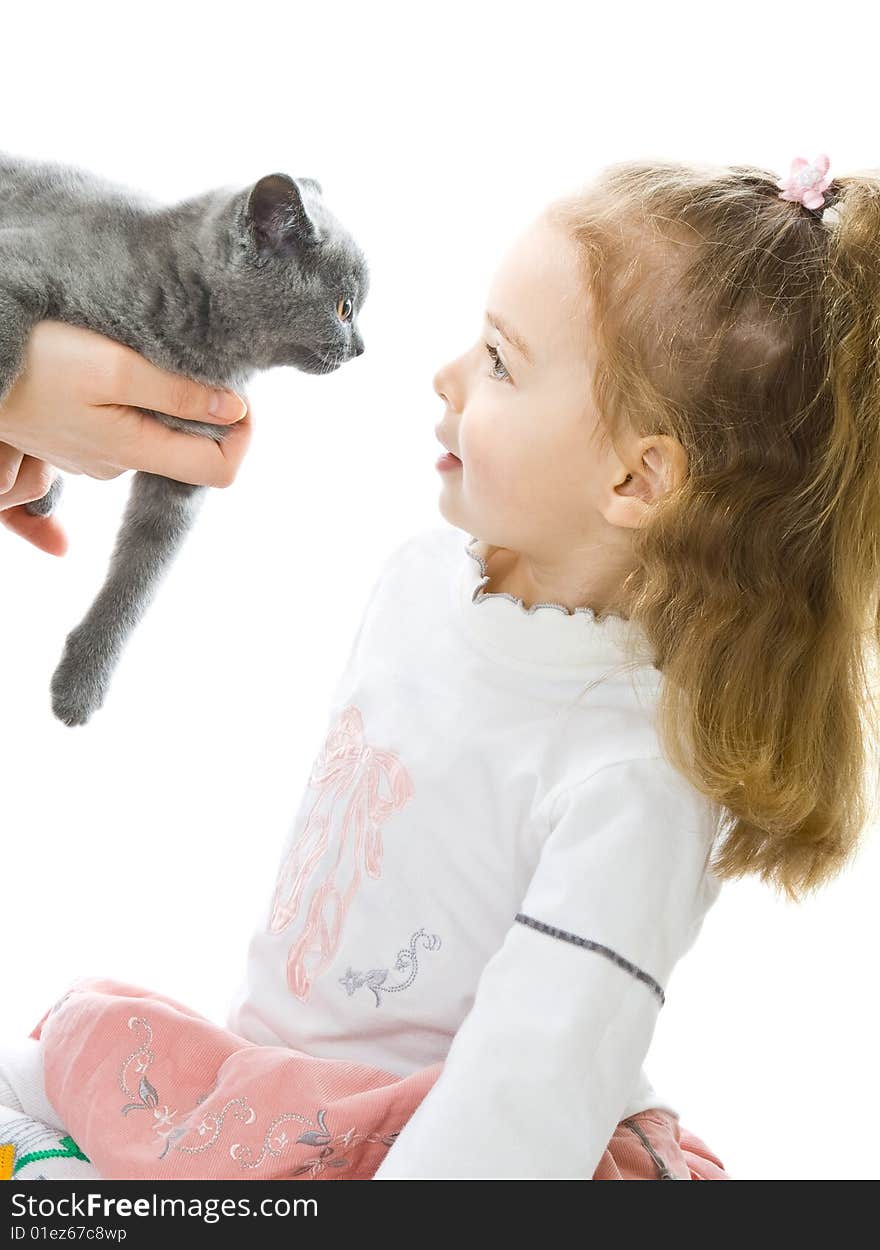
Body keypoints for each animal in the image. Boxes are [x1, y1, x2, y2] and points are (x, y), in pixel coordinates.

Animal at [0, 152, 367, 730]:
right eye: (344, 308)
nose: (362, 348)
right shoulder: (17, 263)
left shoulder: (184, 470)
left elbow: (137, 579)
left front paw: (81, 683)